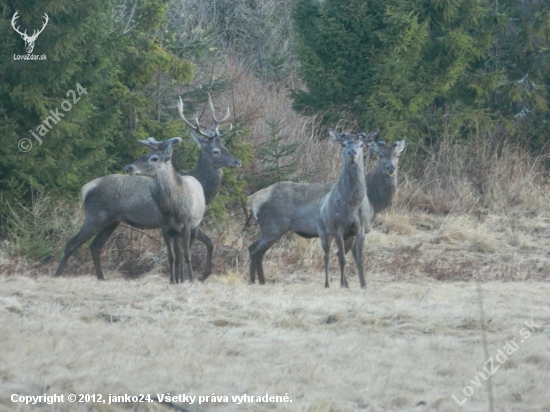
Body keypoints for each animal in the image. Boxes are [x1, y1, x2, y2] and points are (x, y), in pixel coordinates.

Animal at [125, 138, 207, 284]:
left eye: (154, 158)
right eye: (143, 154)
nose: (129, 167)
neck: (171, 210)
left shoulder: (186, 224)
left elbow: (188, 254)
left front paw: (191, 280)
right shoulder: (165, 228)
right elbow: (171, 256)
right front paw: (172, 281)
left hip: (196, 227)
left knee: (186, 251)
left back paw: (185, 278)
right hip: (176, 233)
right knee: (179, 255)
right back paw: (180, 279)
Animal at [250, 134, 406, 284]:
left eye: (397, 155)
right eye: (380, 155)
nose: (391, 168)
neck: (375, 202)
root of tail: (253, 199)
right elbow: (346, 256)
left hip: (270, 229)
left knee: (258, 251)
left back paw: (261, 281)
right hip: (273, 227)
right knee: (254, 249)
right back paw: (253, 280)